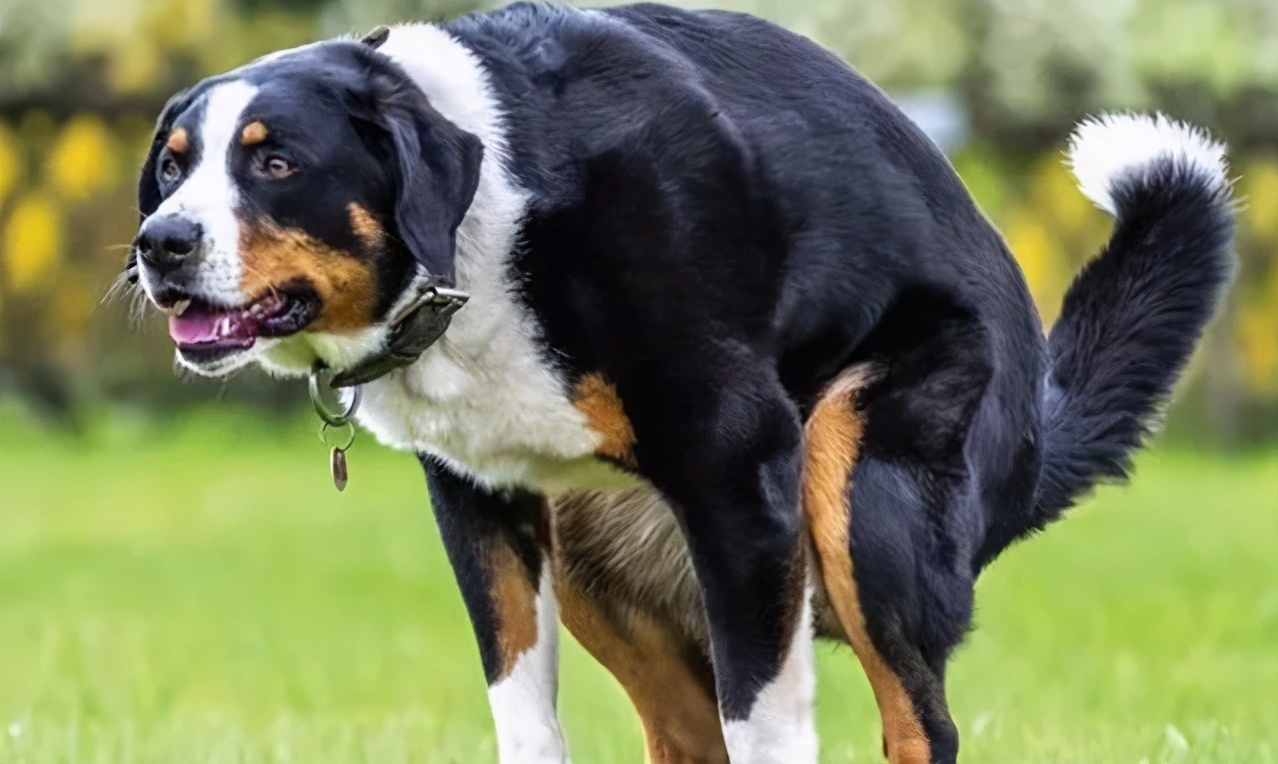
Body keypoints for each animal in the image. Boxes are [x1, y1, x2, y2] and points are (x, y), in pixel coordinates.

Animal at [122, 2, 1237, 761]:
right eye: (173, 166)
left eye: (275, 162)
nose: (158, 244)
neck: (493, 223)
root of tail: (1037, 418)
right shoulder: (480, 501)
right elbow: (525, 715)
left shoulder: (741, 473)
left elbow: (768, 727)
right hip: (597, 562)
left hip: (859, 492)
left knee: (922, 726)